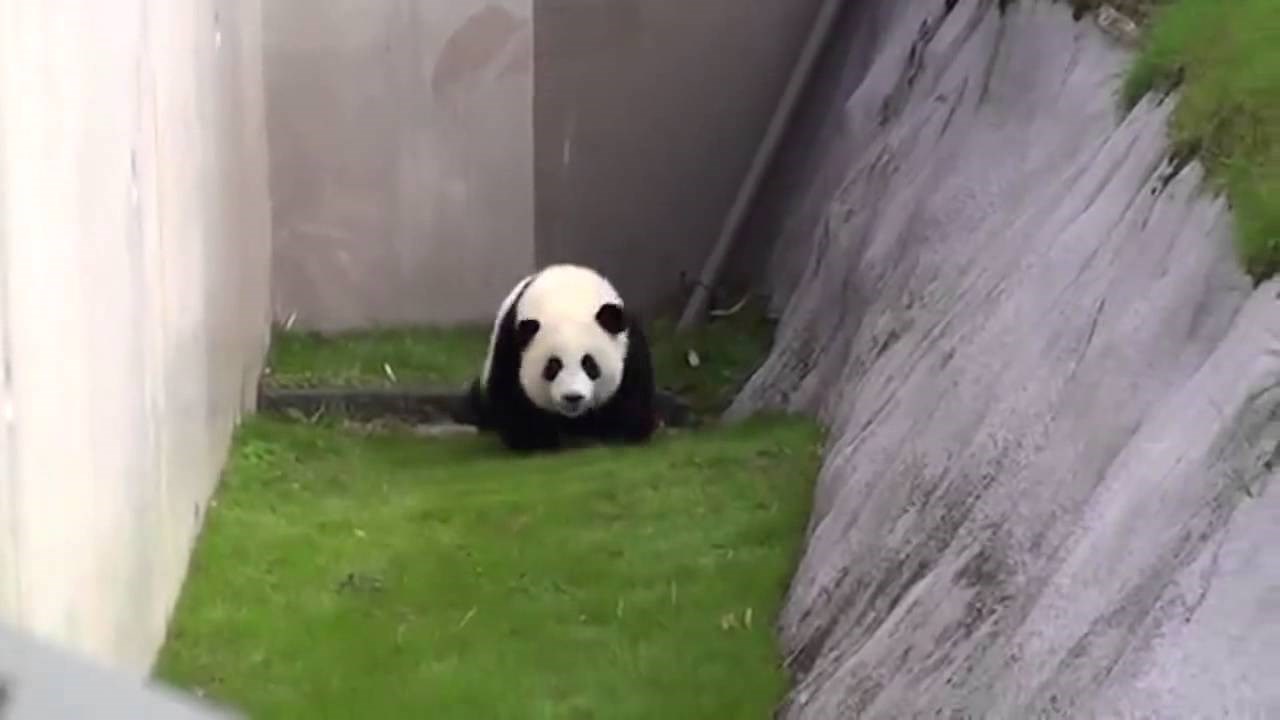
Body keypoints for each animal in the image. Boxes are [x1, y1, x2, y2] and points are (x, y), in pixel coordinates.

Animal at [466, 263, 658, 452]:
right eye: (553, 366)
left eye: (589, 364)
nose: (572, 397)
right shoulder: (511, 345)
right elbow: (512, 395)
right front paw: (535, 440)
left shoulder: (629, 347)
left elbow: (631, 395)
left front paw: (618, 433)